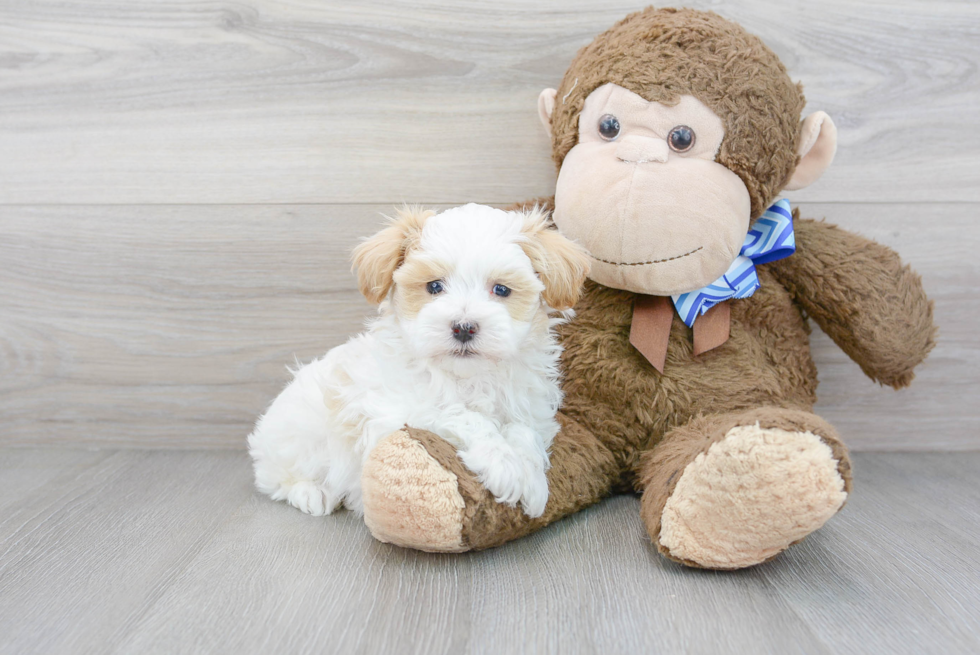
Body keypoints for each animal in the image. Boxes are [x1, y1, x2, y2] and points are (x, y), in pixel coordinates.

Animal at [251, 202, 588, 520]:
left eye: (501, 289)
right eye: (434, 286)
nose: (463, 327)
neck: (469, 377)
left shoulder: (530, 410)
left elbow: (524, 432)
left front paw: (531, 475)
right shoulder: (393, 412)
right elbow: (460, 415)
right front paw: (505, 464)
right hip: (299, 437)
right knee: (273, 478)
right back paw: (311, 492)